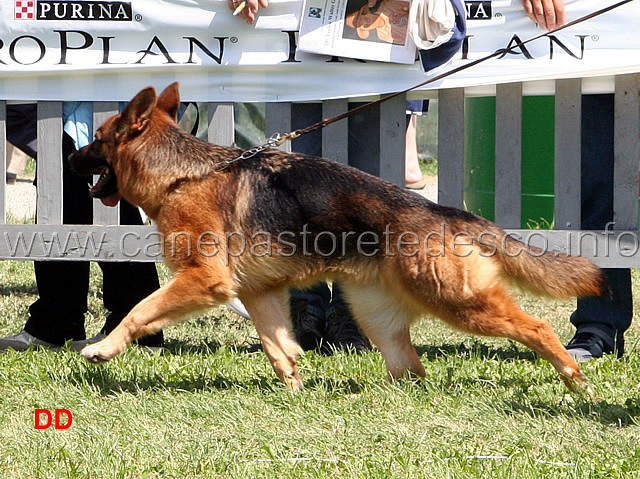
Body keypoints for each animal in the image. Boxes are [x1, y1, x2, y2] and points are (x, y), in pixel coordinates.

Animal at [69, 82, 604, 396]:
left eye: (97, 138)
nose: (71, 157)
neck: (182, 174)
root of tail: (440, 210)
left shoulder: (204, 281)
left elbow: (139, 310)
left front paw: (103, 349)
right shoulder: (258, 293)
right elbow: (278, 347)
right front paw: (294, 391)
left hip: (458, 303)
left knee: (538, 328)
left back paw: (575, 380)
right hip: (377, 315)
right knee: (411, 369)